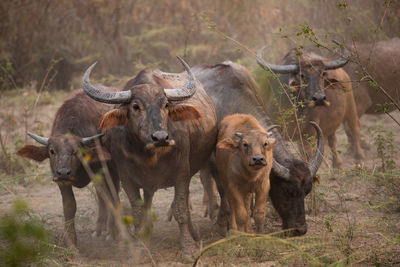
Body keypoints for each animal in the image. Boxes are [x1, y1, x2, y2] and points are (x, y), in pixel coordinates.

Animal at [16, 89, 120, 247]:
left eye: (76, 151)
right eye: (52, 151)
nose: (64, 173)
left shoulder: (103, 171)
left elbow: (110, 197)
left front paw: (112, 233)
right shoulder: (62, 182)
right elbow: (69, 206)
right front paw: (71, 241)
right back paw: (98, 230)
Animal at [82, 57, 219, 260]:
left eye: (166, 105)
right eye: (135, 106)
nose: (161, 138)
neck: (151, 156)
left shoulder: (182, 174)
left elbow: (181, 209)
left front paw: (188, 248)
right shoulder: (127, 179)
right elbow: (138, 213)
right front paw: (140, 248)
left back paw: (194, 234)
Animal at [156, 61, 324, 237]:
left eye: (307, 191)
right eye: (287, 191)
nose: (300, 229)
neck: (230, 100)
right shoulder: (217, 164)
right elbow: (225, 193)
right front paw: (225, 224)